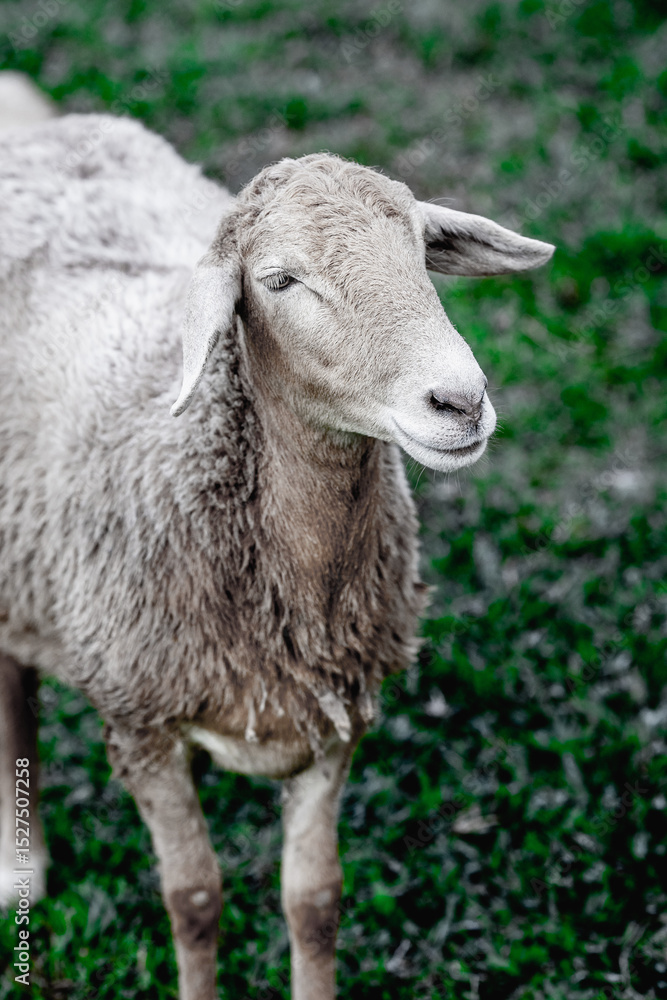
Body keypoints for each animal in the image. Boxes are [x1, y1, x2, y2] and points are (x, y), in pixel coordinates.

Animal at [0, 111, 554, 1000]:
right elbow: (193, 899)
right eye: (280, 280)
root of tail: (53, 130)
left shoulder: (334, 721)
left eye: (419, 249)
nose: (460, 400)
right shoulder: (141, 724)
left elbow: (314, 900)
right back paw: (23, 868)